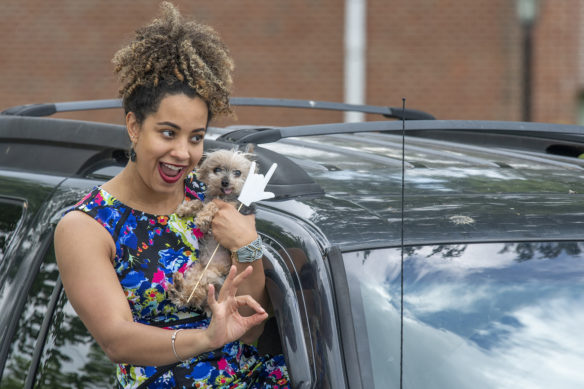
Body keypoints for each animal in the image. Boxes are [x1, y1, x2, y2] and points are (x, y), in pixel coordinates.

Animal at [165, 149, 254, 316]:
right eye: (217, 169)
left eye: (237, 172)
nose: (225, 182)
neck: (223, 194)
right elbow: (200, 202)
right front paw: (186, 208)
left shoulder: (231, 206)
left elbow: (212, 205)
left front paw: (202, 217)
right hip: (197, 272)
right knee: (190, 296)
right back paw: (177, 287)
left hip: (209, 277)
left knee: (192, 296)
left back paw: (178, 288)